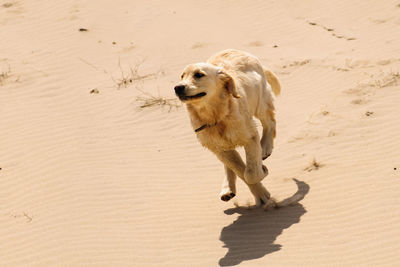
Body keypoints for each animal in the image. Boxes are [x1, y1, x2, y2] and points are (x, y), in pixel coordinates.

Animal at [175, 49, 282, 207]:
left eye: (199, 74)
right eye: (182, 76)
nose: (177, 87)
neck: (215, 117)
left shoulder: (250, 137)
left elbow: (250, 174)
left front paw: (262, 172)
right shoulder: (219, 149)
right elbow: (241, 171)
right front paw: (260, 194)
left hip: (260, 101)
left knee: (270, 122)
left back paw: (266, 147)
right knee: (229, 164)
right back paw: (227, 188)